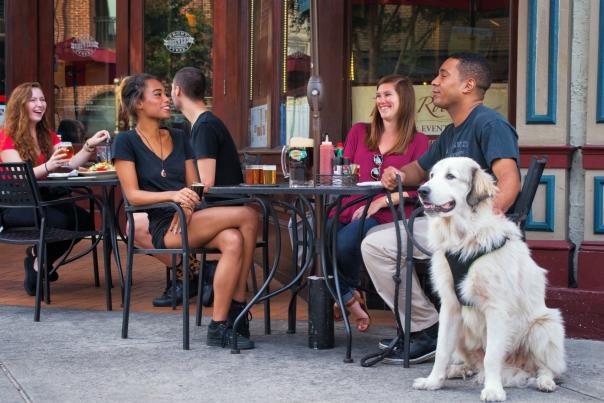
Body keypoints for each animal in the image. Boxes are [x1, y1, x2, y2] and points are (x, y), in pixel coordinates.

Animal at [410, 157, 568, 400]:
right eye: (432, 176)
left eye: (450, 176)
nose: (422, 191)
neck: (464, 237)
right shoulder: (450, 306)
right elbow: (441, 350)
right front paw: (433, 381)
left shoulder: (496, 309)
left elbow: (492, 356)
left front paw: (493, 389)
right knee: (472, 363)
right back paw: (457, 370)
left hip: (546, 325)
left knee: (545, 367)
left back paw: (545, 382)